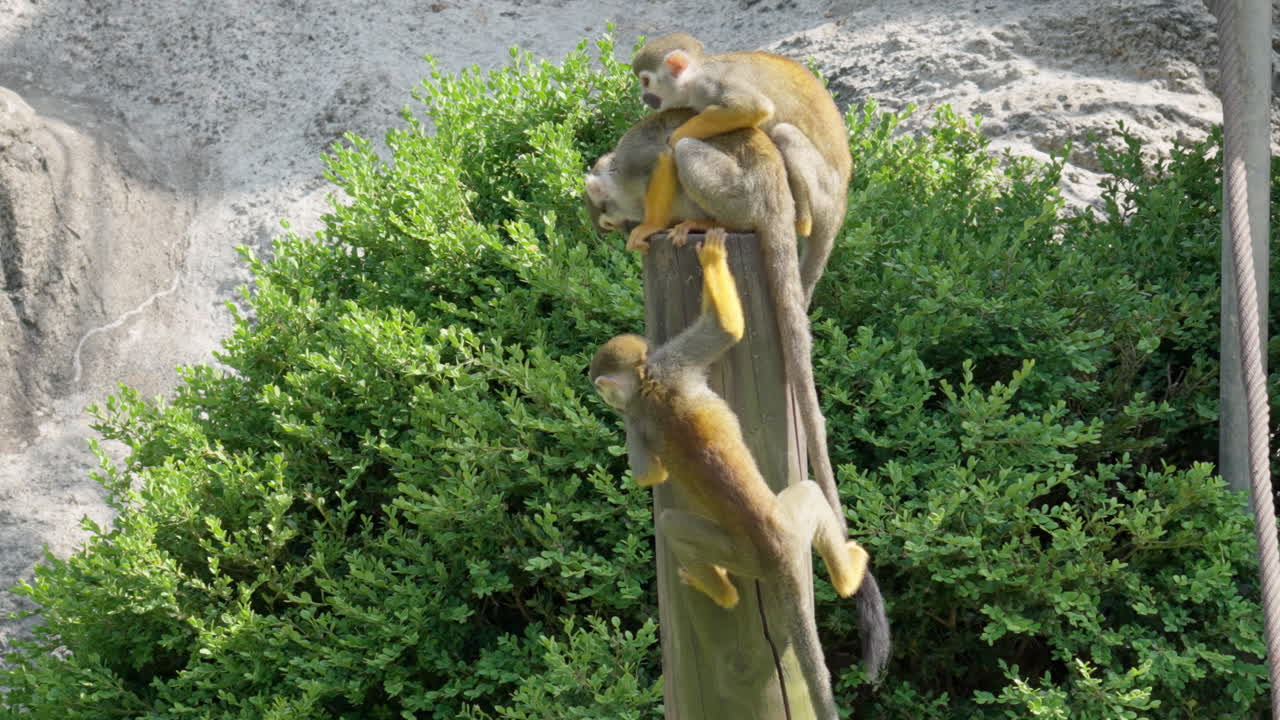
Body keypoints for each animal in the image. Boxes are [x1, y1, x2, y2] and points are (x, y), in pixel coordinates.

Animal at [584, 109, 848, 540]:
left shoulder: (636, 161)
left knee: (684, 150)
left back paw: (699, 221)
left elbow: (663, 157)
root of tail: (778, 197)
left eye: (607, 221)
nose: (619, 228)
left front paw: (649, 225)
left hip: (739, 195)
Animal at [589, 230, 889, 717]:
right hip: (765, 541)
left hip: (751, 547)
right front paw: (713, 260)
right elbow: (729, 332)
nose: (603, 401)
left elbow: (647, 475)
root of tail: (777, 554)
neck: (647, 384)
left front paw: (711, 257)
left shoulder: (649, 393)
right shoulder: (651, 392)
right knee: (779, 499)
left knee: (674, 523)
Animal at [627, 32, 853, 309]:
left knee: (784, 133)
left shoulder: (708, 85)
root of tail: (840, 203)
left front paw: (676, 137)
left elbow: (753, 107)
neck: (696, 74)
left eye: (646, 81)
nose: (644, 97)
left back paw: (802, 221)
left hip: (825, 190)